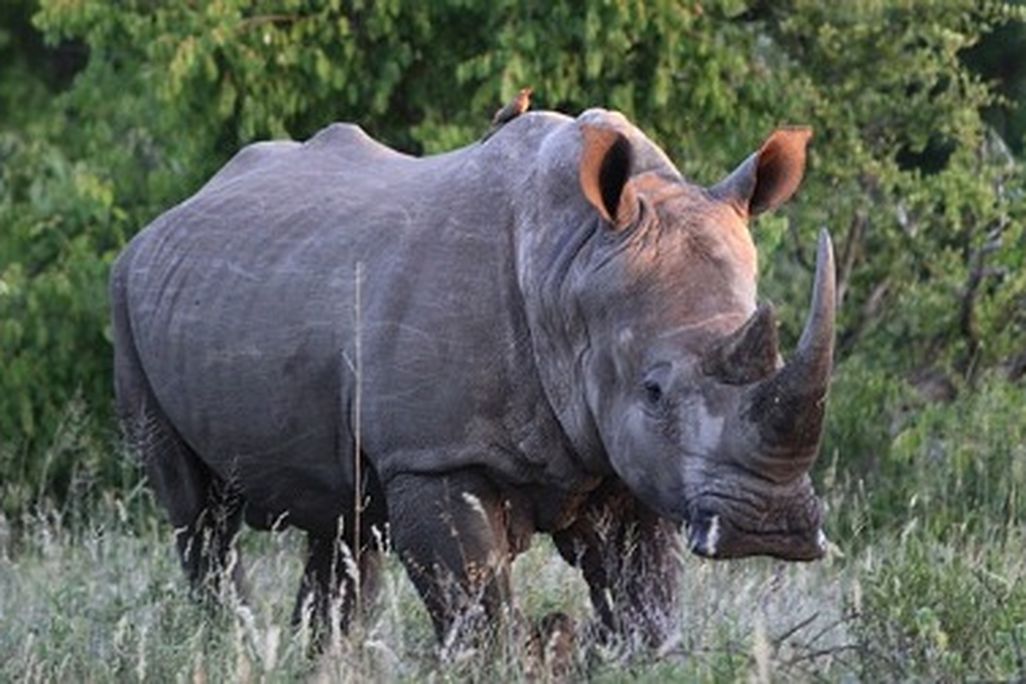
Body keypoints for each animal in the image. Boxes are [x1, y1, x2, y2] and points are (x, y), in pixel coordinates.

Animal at [110, 108, 835, 648]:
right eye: (654, 391)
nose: (768, 527)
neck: (570, 264)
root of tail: (174, 212)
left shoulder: (624, 456)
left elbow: (644, 597)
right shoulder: (434, 454)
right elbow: (477, 607)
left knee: (340, 520)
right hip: (126, 295)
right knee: (198, 514)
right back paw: (227, 641)